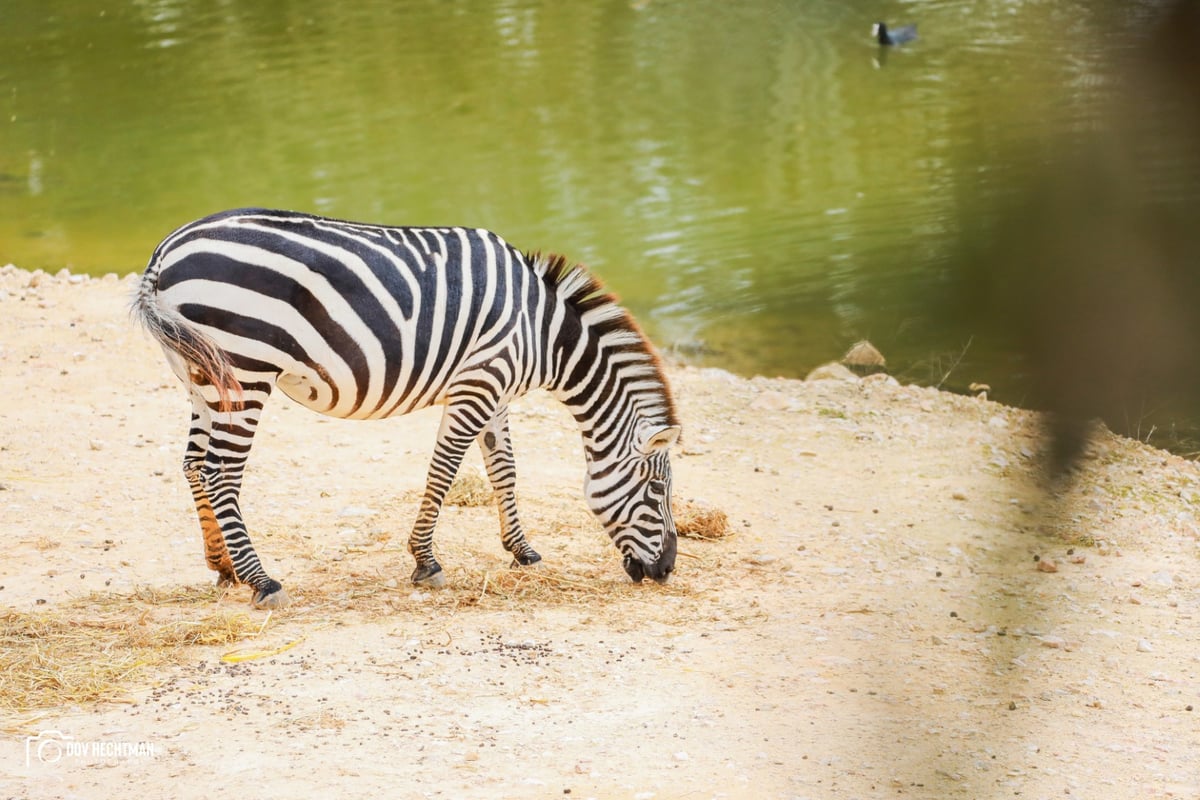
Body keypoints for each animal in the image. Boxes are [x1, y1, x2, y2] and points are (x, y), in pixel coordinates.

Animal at [132, 209, 686, 609]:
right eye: (658, 488)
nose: (667, 571)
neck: (543, 334)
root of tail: (165, 250)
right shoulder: (479, 383)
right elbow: (444, 470)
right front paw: (426, 562)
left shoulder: (497, 391)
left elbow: (504, 469)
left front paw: (522, 551)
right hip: (246, 370)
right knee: (220, 472)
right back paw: (262, 581)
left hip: (203, 377)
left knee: (193, 466)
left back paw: (223, 566)